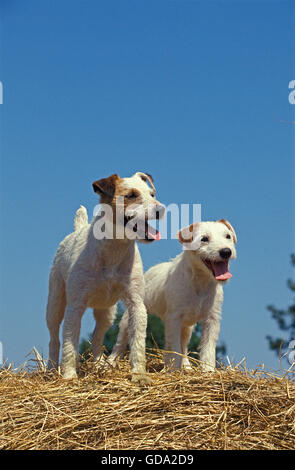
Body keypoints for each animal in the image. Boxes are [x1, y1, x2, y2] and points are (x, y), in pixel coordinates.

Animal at [47, 171, 165, 384]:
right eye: (131, 195)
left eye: (152, 194)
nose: (161, 210)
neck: (114, 248)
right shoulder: (75, 306)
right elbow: (69, 343)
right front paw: (69, 376)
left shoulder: (136, 304)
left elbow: (137, 343)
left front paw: (139, 375)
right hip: (55, 304)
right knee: (54, 338)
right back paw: (51, 369)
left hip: (107, 312)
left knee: (96, 336)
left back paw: (98, 364)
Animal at [110, 219, 237, 370]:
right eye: (204, 239)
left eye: (228, 236)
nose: (226, 251)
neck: (200, 281)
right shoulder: (174, 318)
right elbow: (175, 349)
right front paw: (175, 370)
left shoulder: (212, 319)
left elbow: (208, 349)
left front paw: (208, 371)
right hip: (130, 318)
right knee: (120, 342)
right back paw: (108, 362)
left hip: (186, 328)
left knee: (183, 346)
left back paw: (186, 366)